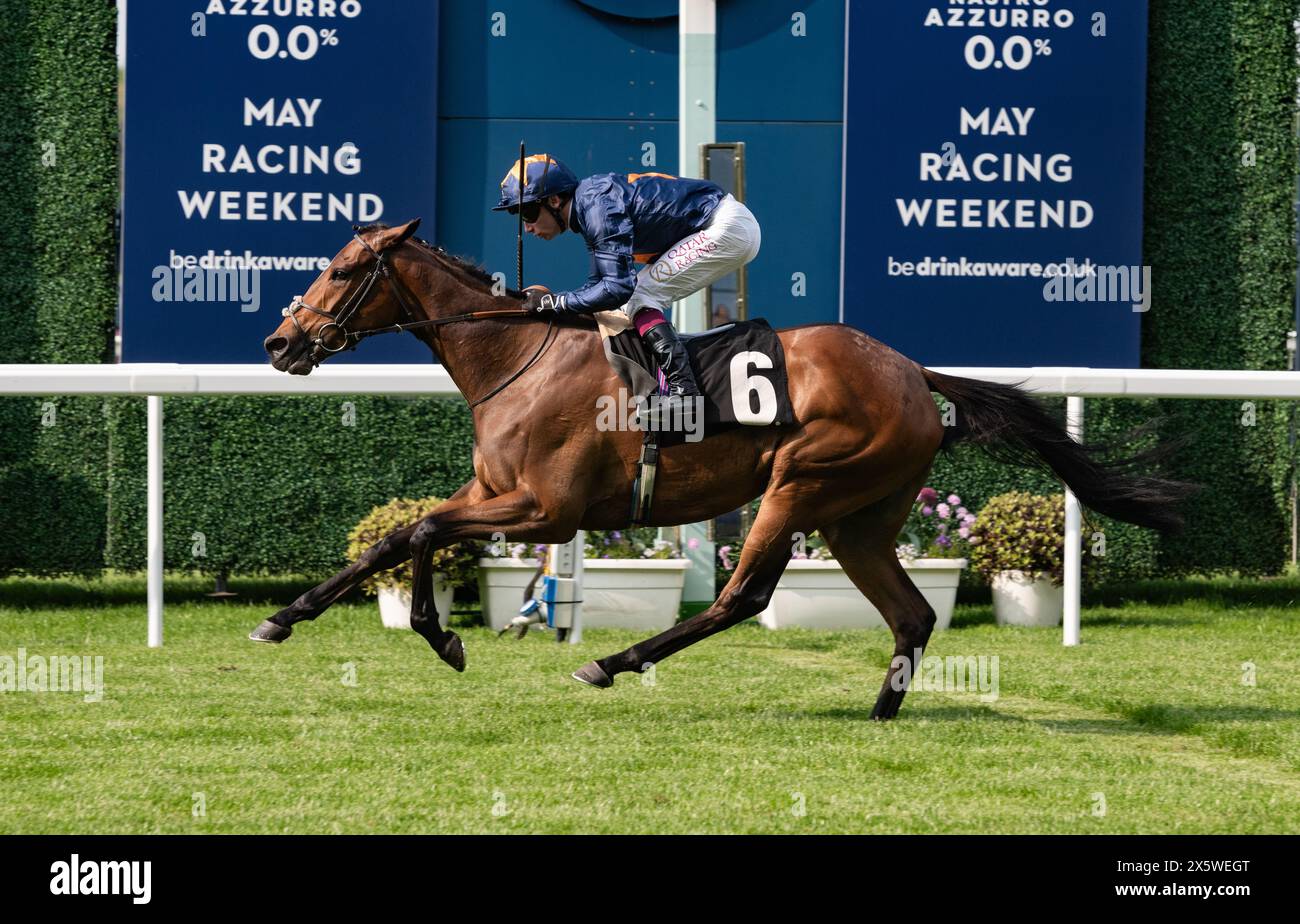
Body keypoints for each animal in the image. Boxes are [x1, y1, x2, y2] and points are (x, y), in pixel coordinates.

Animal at [248, 218, 1190, 722]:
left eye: (342, 269)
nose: (280, 343)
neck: (517, 354)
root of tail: (913, 372)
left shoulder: (545, 510)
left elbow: (423, 532)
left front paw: (441, 637)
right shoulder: (493, 490)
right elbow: (393, 538)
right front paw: (284, 618)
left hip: (801, 483)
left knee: (744, 596)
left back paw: (612, 662)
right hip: (859, 517)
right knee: (912, 613)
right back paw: (880, 712)